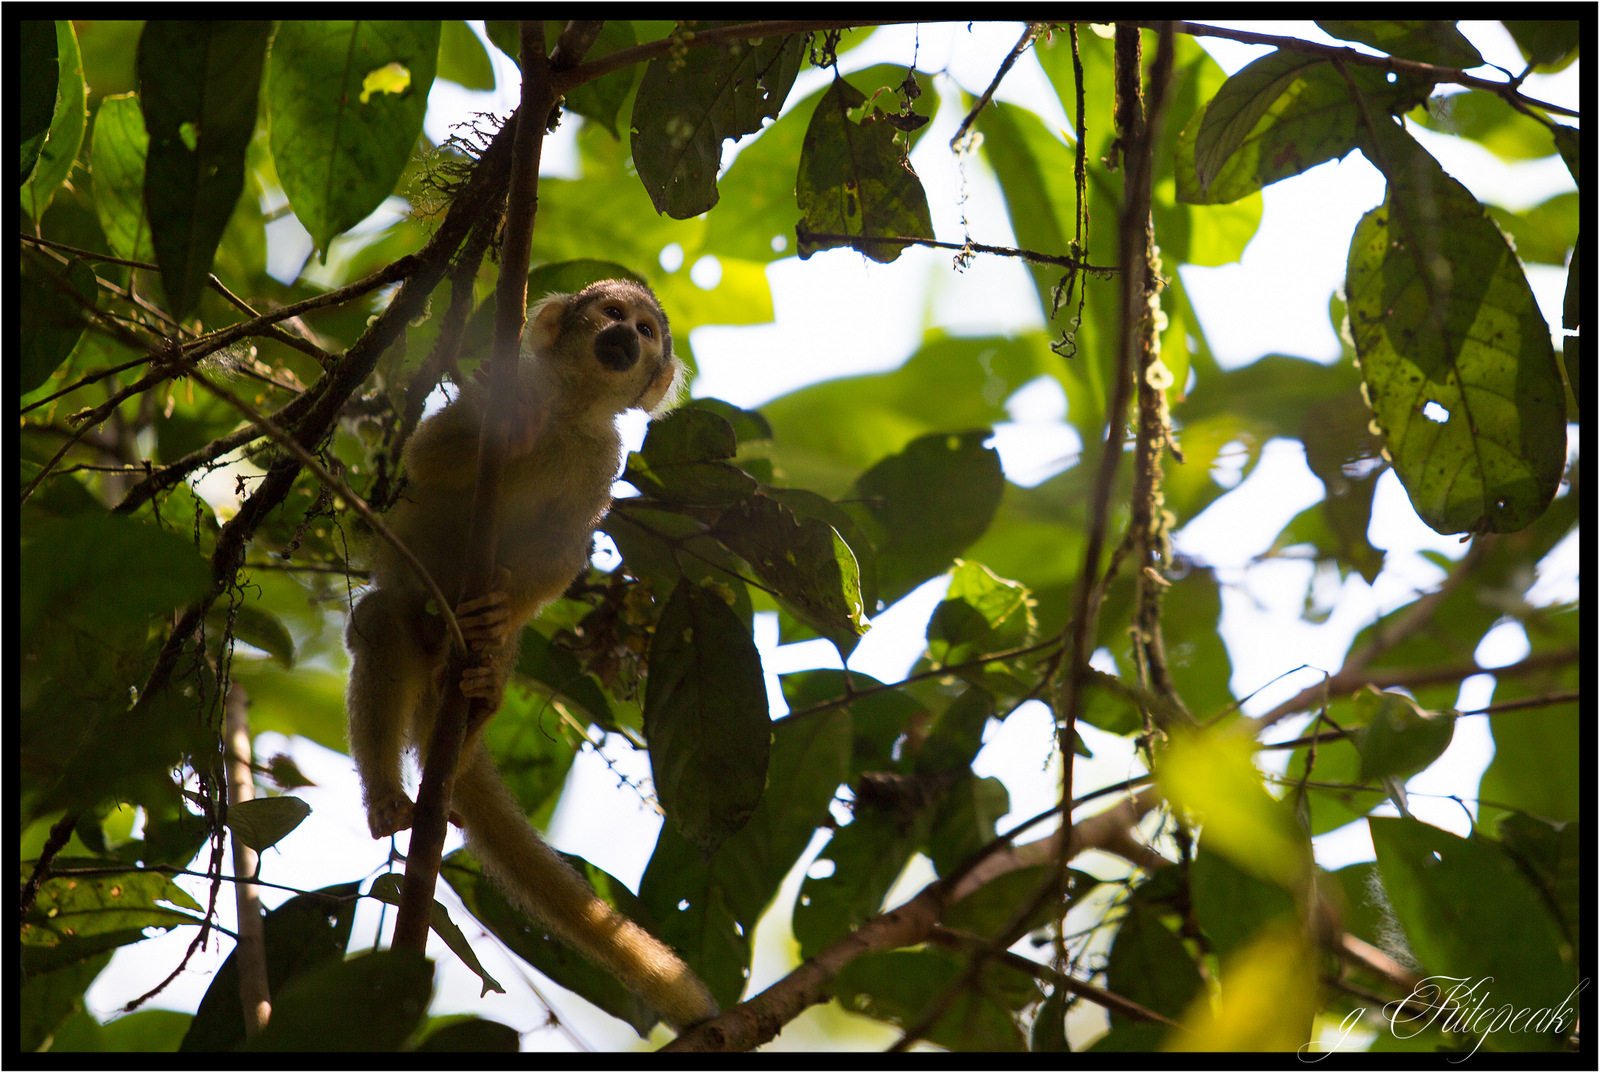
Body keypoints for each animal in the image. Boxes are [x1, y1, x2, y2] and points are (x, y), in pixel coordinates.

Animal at [353, 279, 723, 1029]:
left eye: (646, 331)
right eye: (612, 315)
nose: (627, 338)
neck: (570, 407)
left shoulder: (602, 458)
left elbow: (560, 555)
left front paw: (499, 611)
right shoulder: (501, 386)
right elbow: (426, 458)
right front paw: (507, 433)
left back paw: (478, 686)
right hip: (414, 615)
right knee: (380, 623)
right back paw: (389, 796)